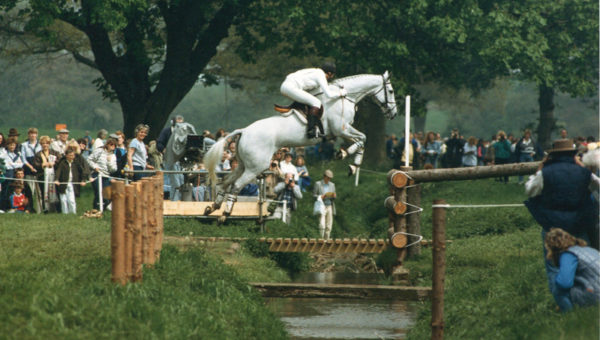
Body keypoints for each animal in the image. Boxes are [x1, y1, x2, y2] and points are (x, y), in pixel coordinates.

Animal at [204, 71, 396, 220]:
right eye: (391, 91)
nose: (393, 114)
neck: (345, 97)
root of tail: (244, 131)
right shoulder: (341, 129)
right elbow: (363, 139)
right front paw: (349, 161)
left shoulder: (342, 131)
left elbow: (361, 140)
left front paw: (350, 161)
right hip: (256, 167)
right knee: (236, 186)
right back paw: (224, 214)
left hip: (243, 164)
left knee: (226, 182)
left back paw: (212, 207)